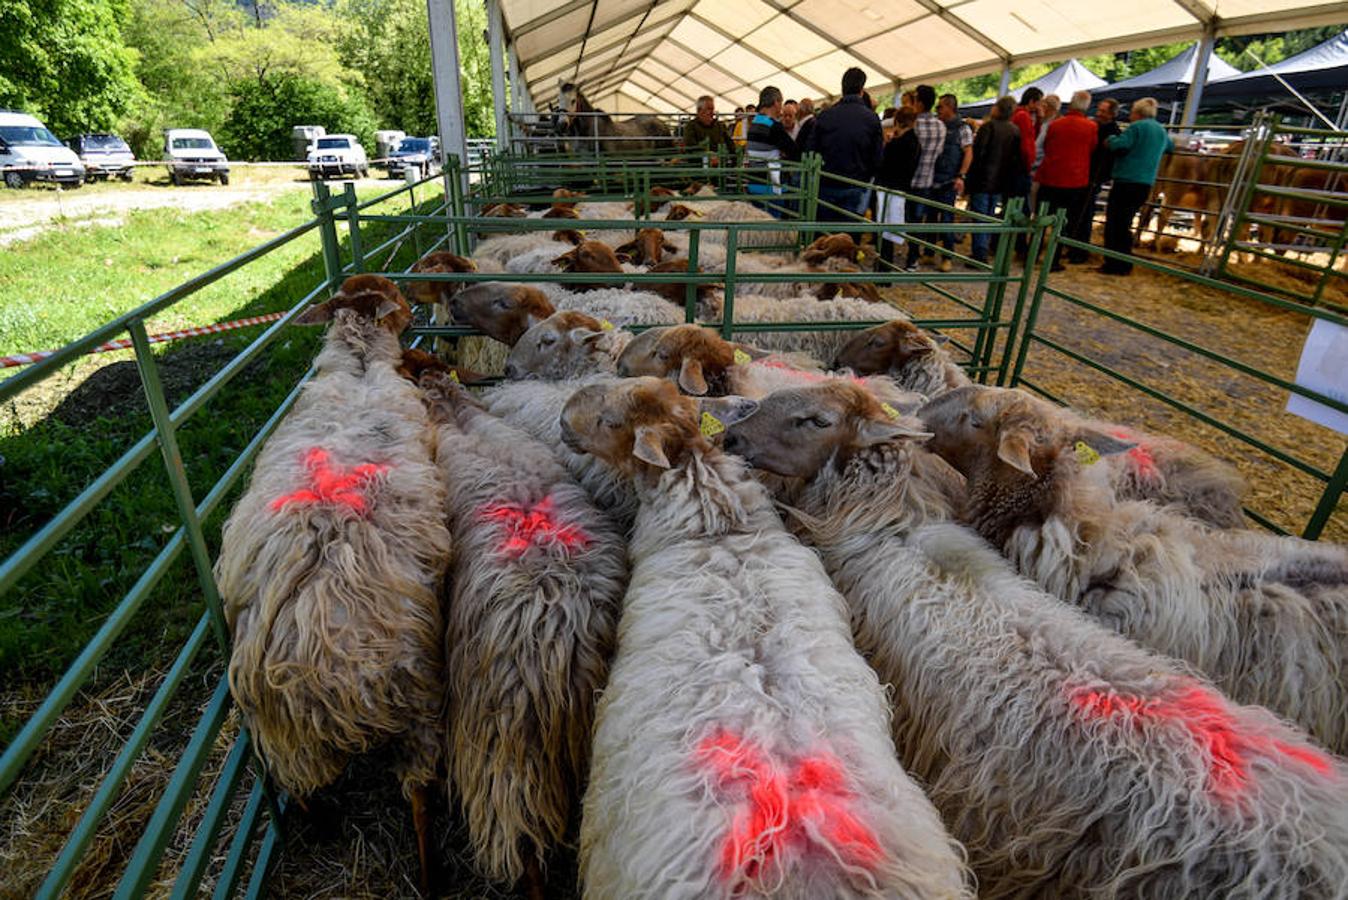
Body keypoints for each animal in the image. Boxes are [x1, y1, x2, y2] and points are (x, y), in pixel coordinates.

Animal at [215, 276, 452, 894]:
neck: (361, 364)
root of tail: (310, 664)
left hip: (282, 735)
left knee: (301, 791)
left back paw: (321, 828)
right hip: (416, 695)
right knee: (420, 794)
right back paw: (431, 878)